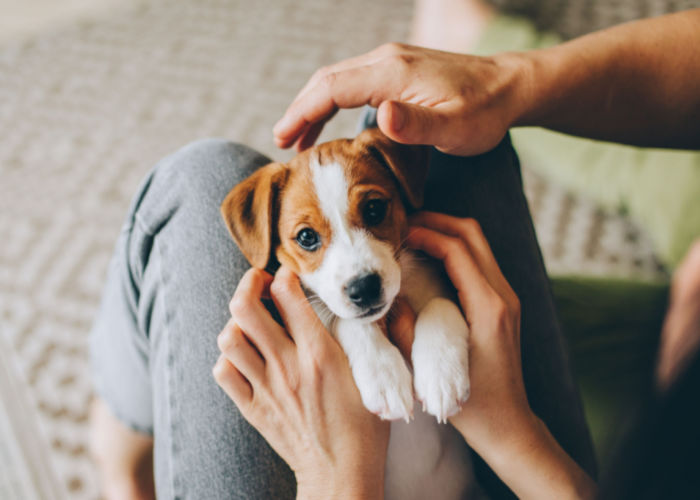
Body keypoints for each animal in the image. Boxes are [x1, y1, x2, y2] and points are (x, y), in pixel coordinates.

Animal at [221, 128, 478, 496]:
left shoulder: (441, 285)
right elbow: (345, 321)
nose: (364, 289)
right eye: (306, 237)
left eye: (373, 209)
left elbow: (440, 304)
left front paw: (441, 374)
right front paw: (383, 374)